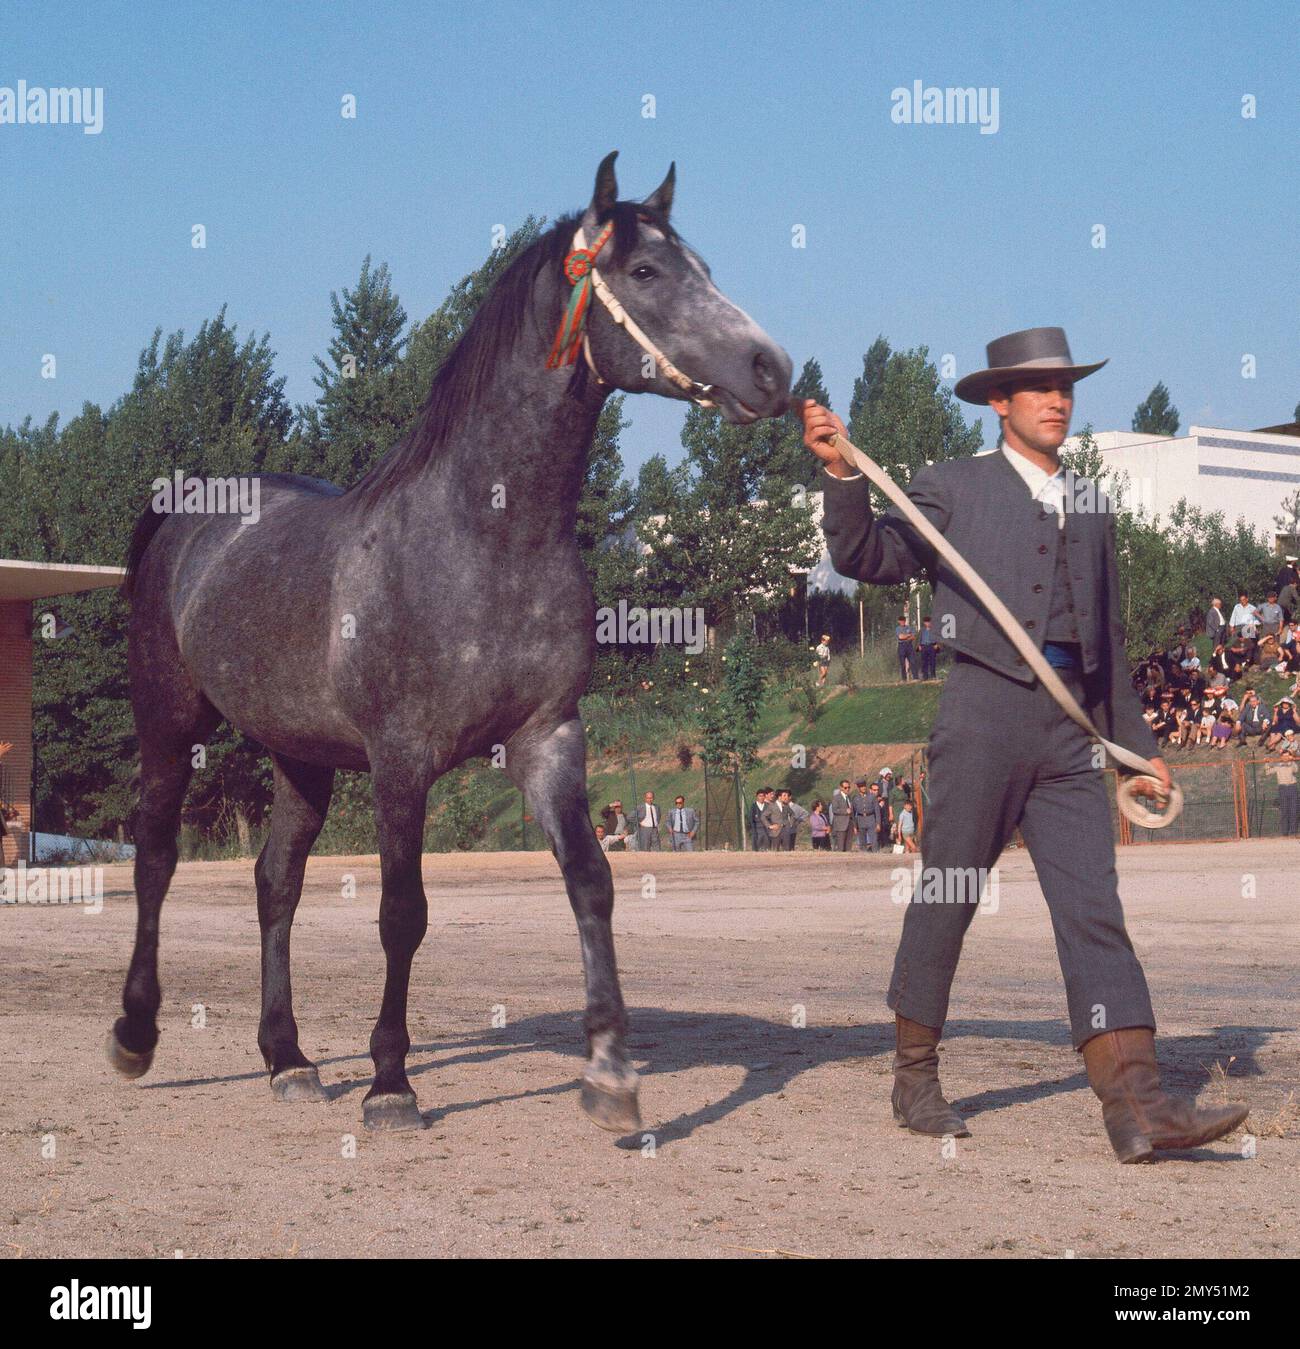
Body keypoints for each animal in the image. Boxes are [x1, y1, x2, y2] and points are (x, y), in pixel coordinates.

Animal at [108, 151, 793, 1133]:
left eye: (702, 265)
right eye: (645, 271)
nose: (772, 369)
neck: (484, 535)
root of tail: (186, 511)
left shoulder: (549, 738)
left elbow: (591, 882)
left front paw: (610, 1076)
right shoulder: (401, 759)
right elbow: (403, 912)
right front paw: (392, 1083)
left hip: (299, 754)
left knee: (276, 881)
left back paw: (289, 1058)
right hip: (169, 725)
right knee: (156, 860)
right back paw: (137, 1035)